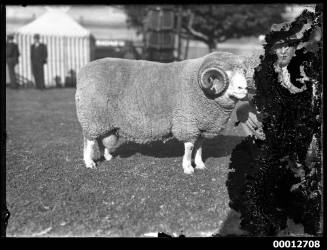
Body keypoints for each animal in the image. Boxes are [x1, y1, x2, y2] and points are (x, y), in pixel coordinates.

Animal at [76, 51, 249, 174]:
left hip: (103, 120)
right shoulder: (187, 122)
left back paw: (107, 157)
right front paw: (188, 167)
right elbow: (189, 147)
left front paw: (199, 164)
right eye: (226, 74)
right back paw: (89, 163)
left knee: (100, 139)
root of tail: (83, 71)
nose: (244, 88)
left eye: (243, 73)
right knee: (89, 141)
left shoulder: (201, 125)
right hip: (92, 116)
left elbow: (199, 146)